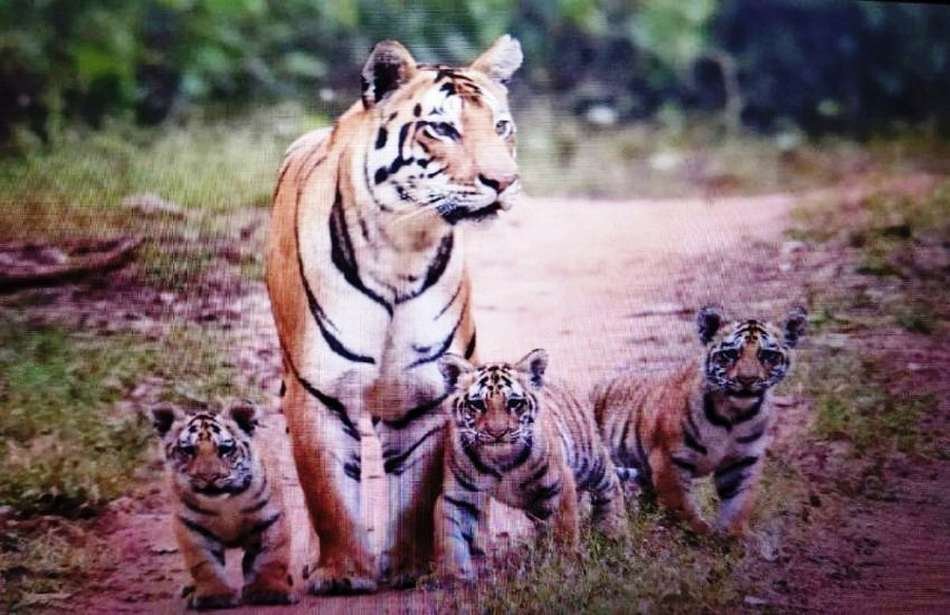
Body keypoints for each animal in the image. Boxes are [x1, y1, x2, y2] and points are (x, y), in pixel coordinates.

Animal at [151, 405, 297, 609]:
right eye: (188, 450)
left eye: (225, 449)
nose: (209, 477)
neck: (225, 503)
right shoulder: (192, 527)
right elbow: (205, 564)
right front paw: (215, 595)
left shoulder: (271, 519)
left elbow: (270, 557)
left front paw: (268, 591)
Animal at [265, 36, 524, 591]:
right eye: (442, 129)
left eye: (501, 126)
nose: (504, 181)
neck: (402, 249)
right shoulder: (317, 391)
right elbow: (327, 492)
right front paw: (342, 572)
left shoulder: (425, 393)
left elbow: (417, 495)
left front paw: (411, 567)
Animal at [434, 349, 626, 581]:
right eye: (478, 404)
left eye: (514, 403)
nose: (497, 432)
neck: (499, 461)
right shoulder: (458, 496)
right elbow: (449, 534)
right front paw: (453, 575)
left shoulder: (558, 485)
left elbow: (564, 530)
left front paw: (565, 566)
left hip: (589, 459)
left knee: (609, 484)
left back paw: (613, 530)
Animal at [595, 306, 807, 537]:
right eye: (730, 354)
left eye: (768, 355)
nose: (747, 379)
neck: (735, 416)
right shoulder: (669, 459)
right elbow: (681, 504)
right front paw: (697, 532)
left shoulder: (743, 460)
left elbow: (739, 501)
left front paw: (733, 535)